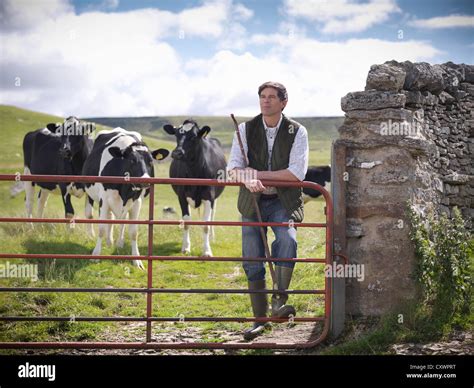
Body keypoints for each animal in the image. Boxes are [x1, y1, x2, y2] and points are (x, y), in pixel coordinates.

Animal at [82, 127, 169, 270]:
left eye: (151, 161)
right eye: (132, 160)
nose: (145, 181)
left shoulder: (136, 202)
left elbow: (133, 232)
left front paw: (136, 260)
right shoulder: (104, 200)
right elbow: (101, 228)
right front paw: (96, 254)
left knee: (121, 220)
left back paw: (118, 242)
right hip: (92, 195)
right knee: (100, 216)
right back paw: (107, 240)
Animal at [164, 119, 227, 256]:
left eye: (193, 137)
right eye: (176, 135)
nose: (177, 153)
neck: (195, 171)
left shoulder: (209, 196)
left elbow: (206, 224)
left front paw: (207, 250)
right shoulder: (182, 195)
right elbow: (187, 221)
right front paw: (186, 247)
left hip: (215, 198)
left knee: (212, 216)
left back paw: (212, 238)